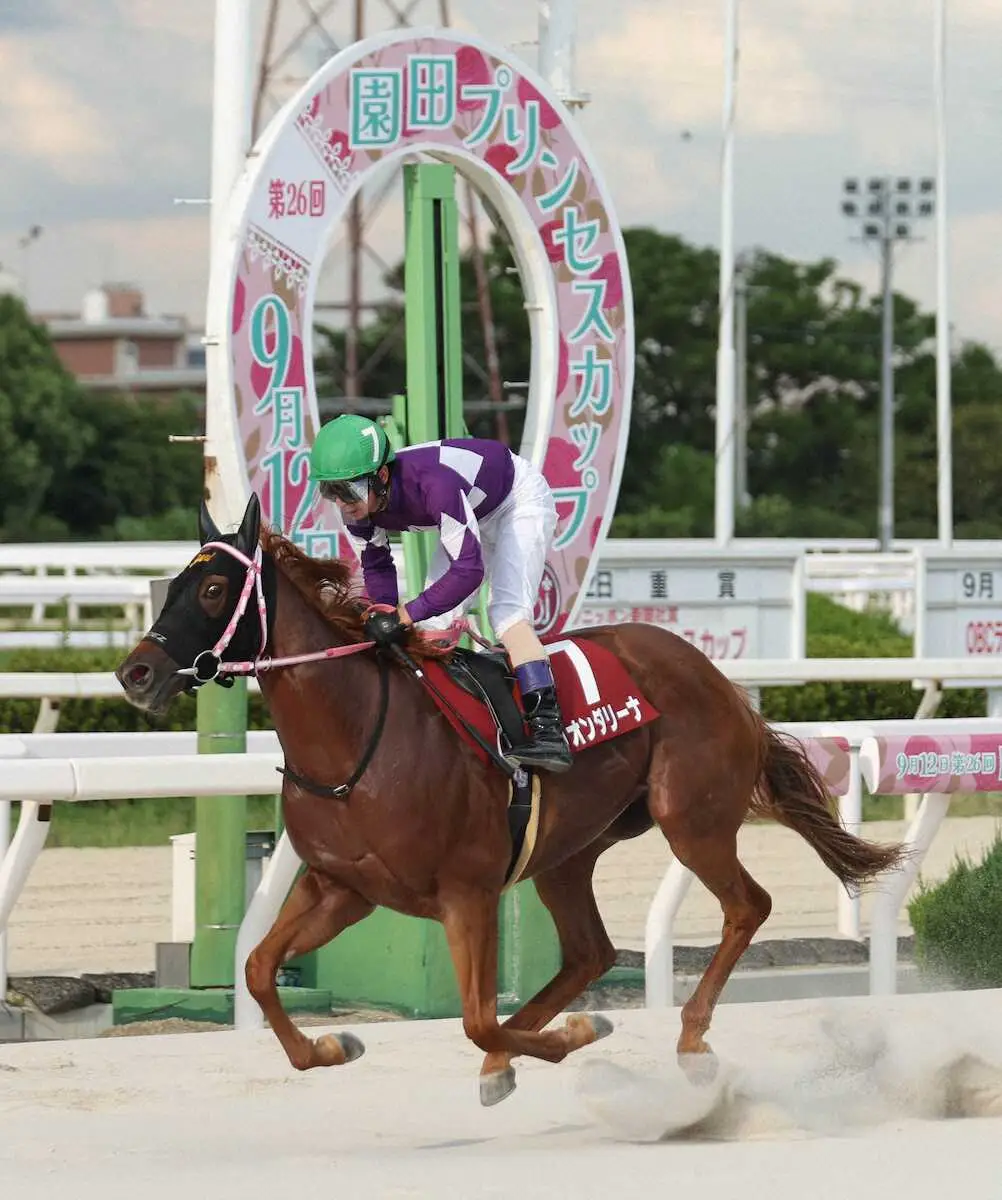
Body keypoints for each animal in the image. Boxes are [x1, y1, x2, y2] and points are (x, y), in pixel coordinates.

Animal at [113, 494, 907, 1104]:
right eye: (171, 585)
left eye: (213, 591)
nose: (136, 673)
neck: (355, 739)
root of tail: (723, 683)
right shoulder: (343, 887)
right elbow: (255, 969)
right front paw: (331, 1047)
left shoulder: (466, 891)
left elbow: (476, 1020)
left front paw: (574, 1032)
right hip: (568, 851)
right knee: (590, 951)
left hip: (692, 819)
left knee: (747, 906)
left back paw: (686, 1036)